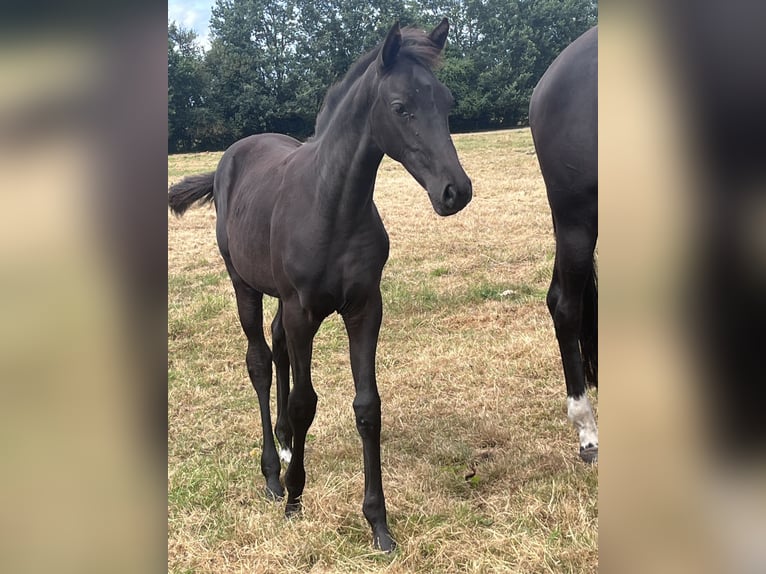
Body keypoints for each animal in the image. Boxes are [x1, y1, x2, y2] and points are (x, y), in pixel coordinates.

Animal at [168, 19, 472, 551]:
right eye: (401, 107)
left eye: (447, 101)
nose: (456, 192)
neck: (333, 207)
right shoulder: (303, 310)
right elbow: (305, 401)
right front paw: (295, 499)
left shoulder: (365, 307)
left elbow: (367, 406)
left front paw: (378, 522)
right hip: (244, 284)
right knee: (259, 361)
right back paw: (273, 472)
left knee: (277, 348)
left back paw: (287, 444)